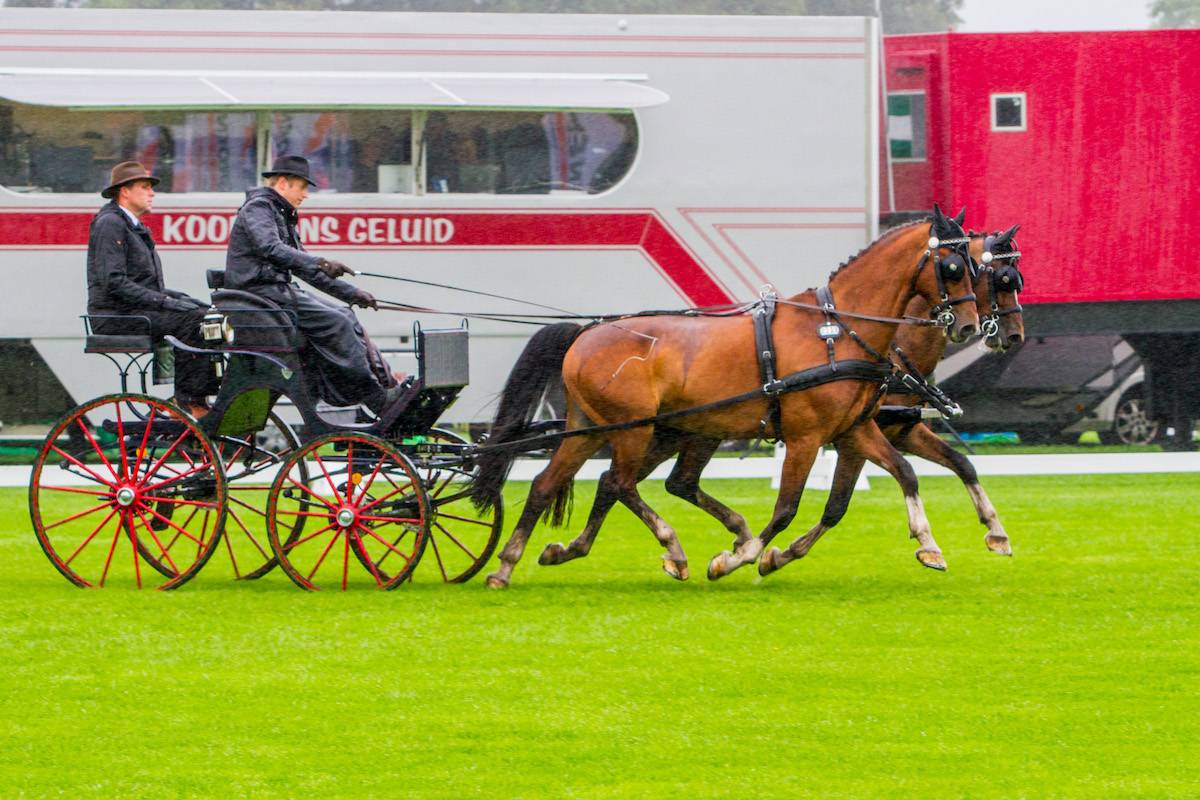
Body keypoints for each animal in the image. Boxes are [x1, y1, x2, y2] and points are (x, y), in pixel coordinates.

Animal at [468, 208, 974, 587]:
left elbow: (904, 472)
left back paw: (509, 564)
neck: (836, 331)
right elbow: (786, 509)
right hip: (634, 429)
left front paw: (928, 545)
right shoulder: (806, 437)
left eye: (975, 266)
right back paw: (673, 548)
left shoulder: (852, 429)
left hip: (591, 428)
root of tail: (588, 331)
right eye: (953, 266)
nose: (968, 326)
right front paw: (738, 558)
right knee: (619, 482)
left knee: (549, 484)